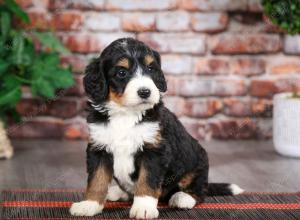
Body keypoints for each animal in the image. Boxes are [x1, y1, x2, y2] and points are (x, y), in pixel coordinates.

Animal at [69, 37, 243, 218]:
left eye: (151, 68)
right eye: (122, 72)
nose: (145, 92)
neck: (126, 114)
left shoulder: (154, 150)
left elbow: (147, 181)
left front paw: (143, 207)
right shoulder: (99, 148)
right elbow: (97, 179)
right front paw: (89, 204)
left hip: (198, 162)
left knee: (199, 190)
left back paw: (182, 198)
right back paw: (117, 192)